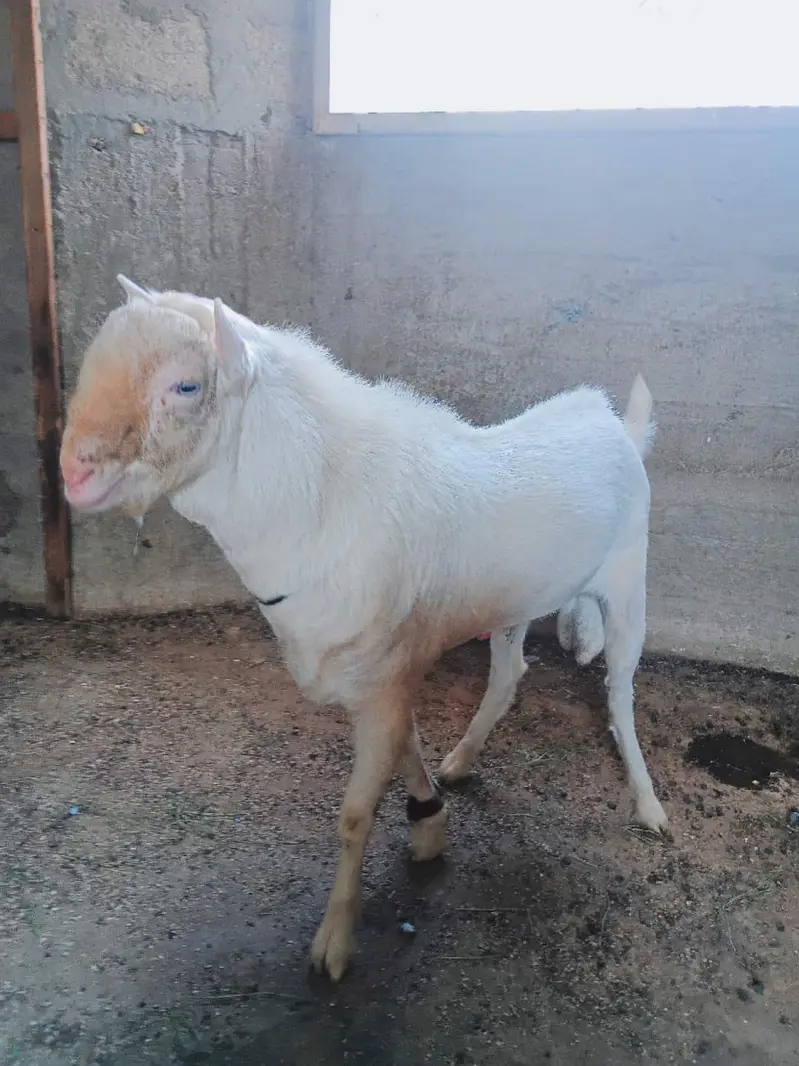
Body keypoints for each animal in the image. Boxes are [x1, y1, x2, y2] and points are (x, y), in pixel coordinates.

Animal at [60, 276, 668, 981]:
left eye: (185, 386)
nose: (74, 474)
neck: (320, 507)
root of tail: (614, 423)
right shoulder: (385, 674)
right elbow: (406, 746)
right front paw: (430, 823)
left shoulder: (382, 677)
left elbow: (354, 815)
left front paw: (335, 942)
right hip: (517, 601)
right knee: (508, 676)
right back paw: (463, 759)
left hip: (628, 582)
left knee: (620, 693)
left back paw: (648, 804)